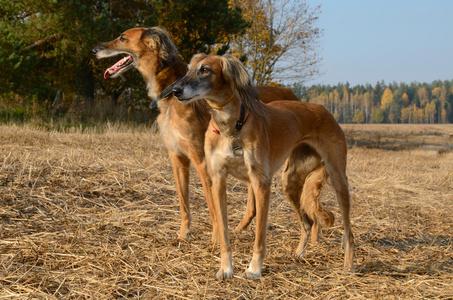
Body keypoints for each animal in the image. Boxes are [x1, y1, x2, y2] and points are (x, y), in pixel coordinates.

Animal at [91, 27, 324, 244]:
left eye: (122, 37)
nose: (94, 50)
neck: (171, 93)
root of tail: (294, 95)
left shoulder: (202, 159)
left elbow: (213, 205)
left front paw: (215, 239)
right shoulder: (177, 157)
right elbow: (183, 202)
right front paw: (184, 235)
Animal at [171, 53, 352, 278]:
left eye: (205, 70)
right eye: (188, 69)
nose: (175, 91)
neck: (230, 127)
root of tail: (322, 108)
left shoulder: (260, 183)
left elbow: (259, 235)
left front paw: (254, 269)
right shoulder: (218, 181)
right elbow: (223, 233)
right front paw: (226, 268)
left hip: (338, 178)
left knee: (348, 232)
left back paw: (348, 266)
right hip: (289, 181)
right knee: (308, 222)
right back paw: (298, 254)